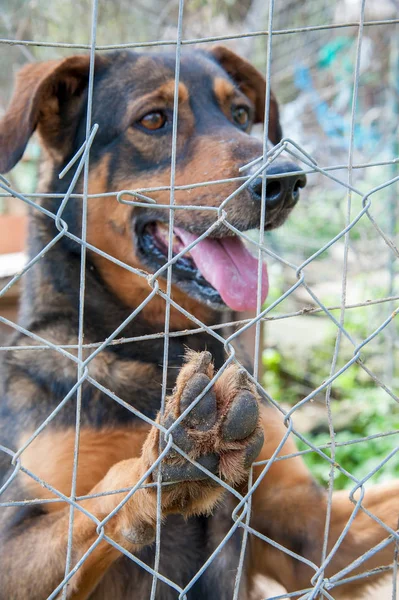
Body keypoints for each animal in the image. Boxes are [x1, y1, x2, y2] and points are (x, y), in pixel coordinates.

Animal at [0, 48, 398, 600]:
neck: (162, 346)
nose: (286, 181)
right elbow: (107, 490)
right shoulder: (18, 538)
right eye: (153, 120)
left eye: (240, 113)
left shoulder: (309, 531)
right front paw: (177, 449)